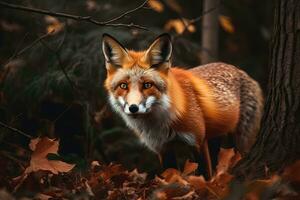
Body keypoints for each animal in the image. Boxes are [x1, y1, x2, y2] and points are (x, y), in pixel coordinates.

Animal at [101, 33, 262, 178]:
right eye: (123, 86)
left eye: (147, 85)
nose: (133, 108)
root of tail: (239, 70)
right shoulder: (162, 148)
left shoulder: (197, 142)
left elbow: (204, 174)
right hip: (215, 138)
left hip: (240, 140)